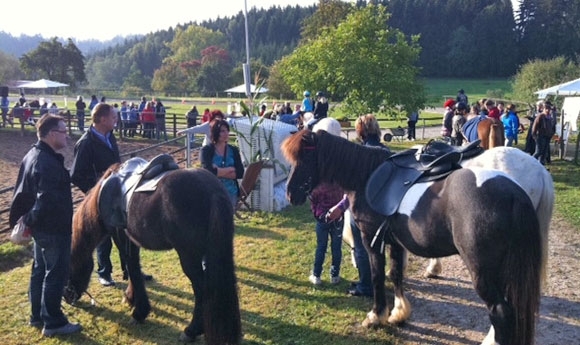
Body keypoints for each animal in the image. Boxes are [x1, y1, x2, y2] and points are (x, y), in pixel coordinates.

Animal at [64, 157, 242, 342]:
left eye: (67, 268)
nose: (67, 297)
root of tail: (212, 190)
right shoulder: (129, 239)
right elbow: (132, 267)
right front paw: (131, 298)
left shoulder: (119, 235)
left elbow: (132, 268)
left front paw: (139, 312)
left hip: (189, 256)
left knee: (201, 289)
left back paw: (191, 331)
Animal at [284, 129, 548, 344]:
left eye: (304, 158)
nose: (290, 194)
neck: (367, 176)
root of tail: (514, 194)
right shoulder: (395, 243)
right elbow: (396, 274)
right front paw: (398, 313)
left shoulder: (372, 241)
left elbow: (378, 276)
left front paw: (375, 316)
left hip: (484, 272)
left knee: (501, 312)